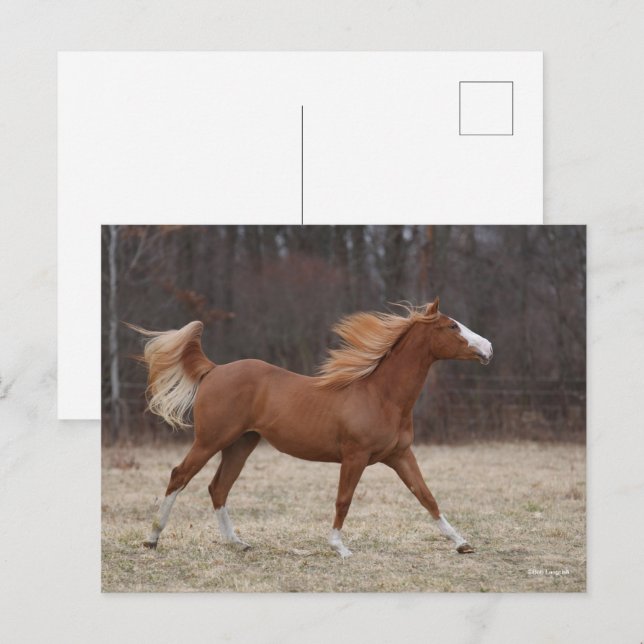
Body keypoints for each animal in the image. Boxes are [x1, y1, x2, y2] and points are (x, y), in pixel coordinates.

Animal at [131, 297, 492, 558]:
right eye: (452, 326)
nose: (488, 348)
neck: (381, 395)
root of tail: (214, 369)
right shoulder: (355, 456)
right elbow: (343, 499)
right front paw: (340, 548)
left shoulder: (400, 455)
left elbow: (427, 497)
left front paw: (462, 543)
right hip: (210, 440)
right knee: (180, 476)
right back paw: (152, 539)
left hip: (241, 443)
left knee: (218, 488)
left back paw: (238, 543)